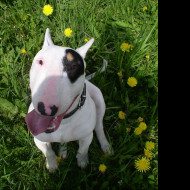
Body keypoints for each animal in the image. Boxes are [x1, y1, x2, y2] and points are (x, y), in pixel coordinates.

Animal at [25, 28, 111, 172]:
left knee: (99, 126)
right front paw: (52, 164)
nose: (46, 108)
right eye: (40, 61)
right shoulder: (39, 139)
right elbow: (48, 152)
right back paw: (62, 150)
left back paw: (105, 146)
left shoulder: (86, 136)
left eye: (74, 67)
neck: (64, 122)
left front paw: (82, 161)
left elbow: (83, 150)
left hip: (99, 100)